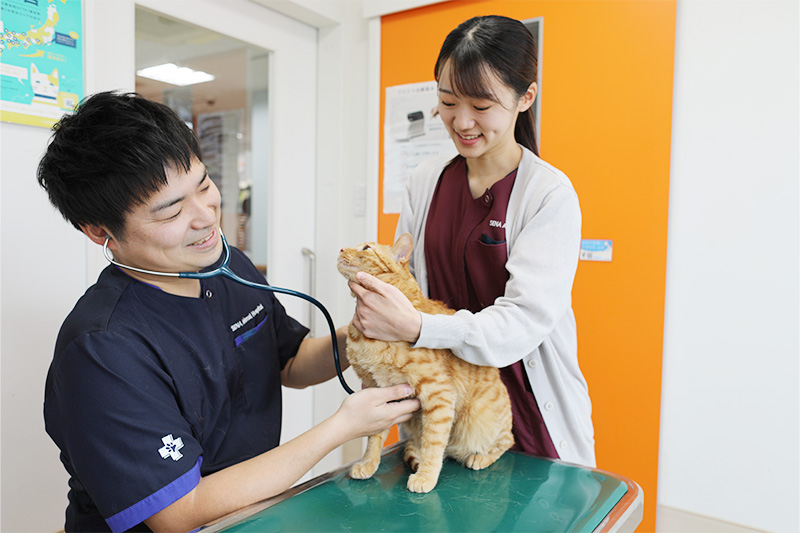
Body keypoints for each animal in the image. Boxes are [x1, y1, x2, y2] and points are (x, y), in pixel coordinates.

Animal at [337, 232, 514, 493]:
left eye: (366, 248)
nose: (340, 249)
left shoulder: (438, 394)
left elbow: (433, 441)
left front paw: (426, 476)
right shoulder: (376, 389)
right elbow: (374, 436)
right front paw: (368, 463)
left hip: (484, 420)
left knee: (506, 441)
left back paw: (479, 457)